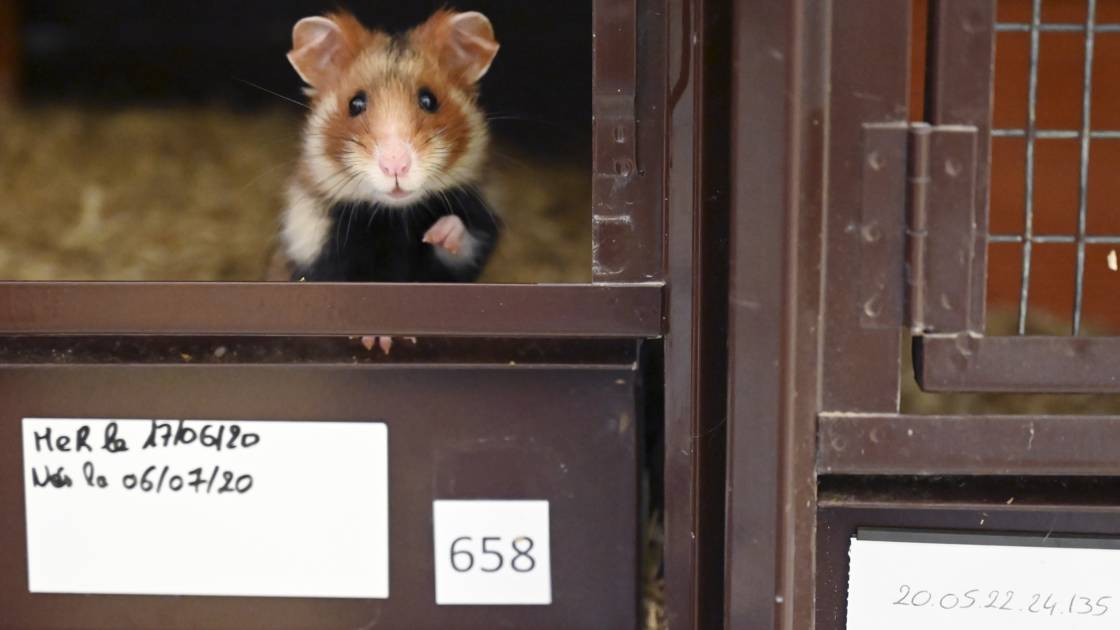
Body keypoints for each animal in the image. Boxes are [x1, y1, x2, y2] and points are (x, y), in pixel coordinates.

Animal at [278, 9, 501, 282]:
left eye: (429, 100)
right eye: (355, 104)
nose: (396, 167)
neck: (396, 217)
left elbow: (461, 241)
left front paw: (438, 233)